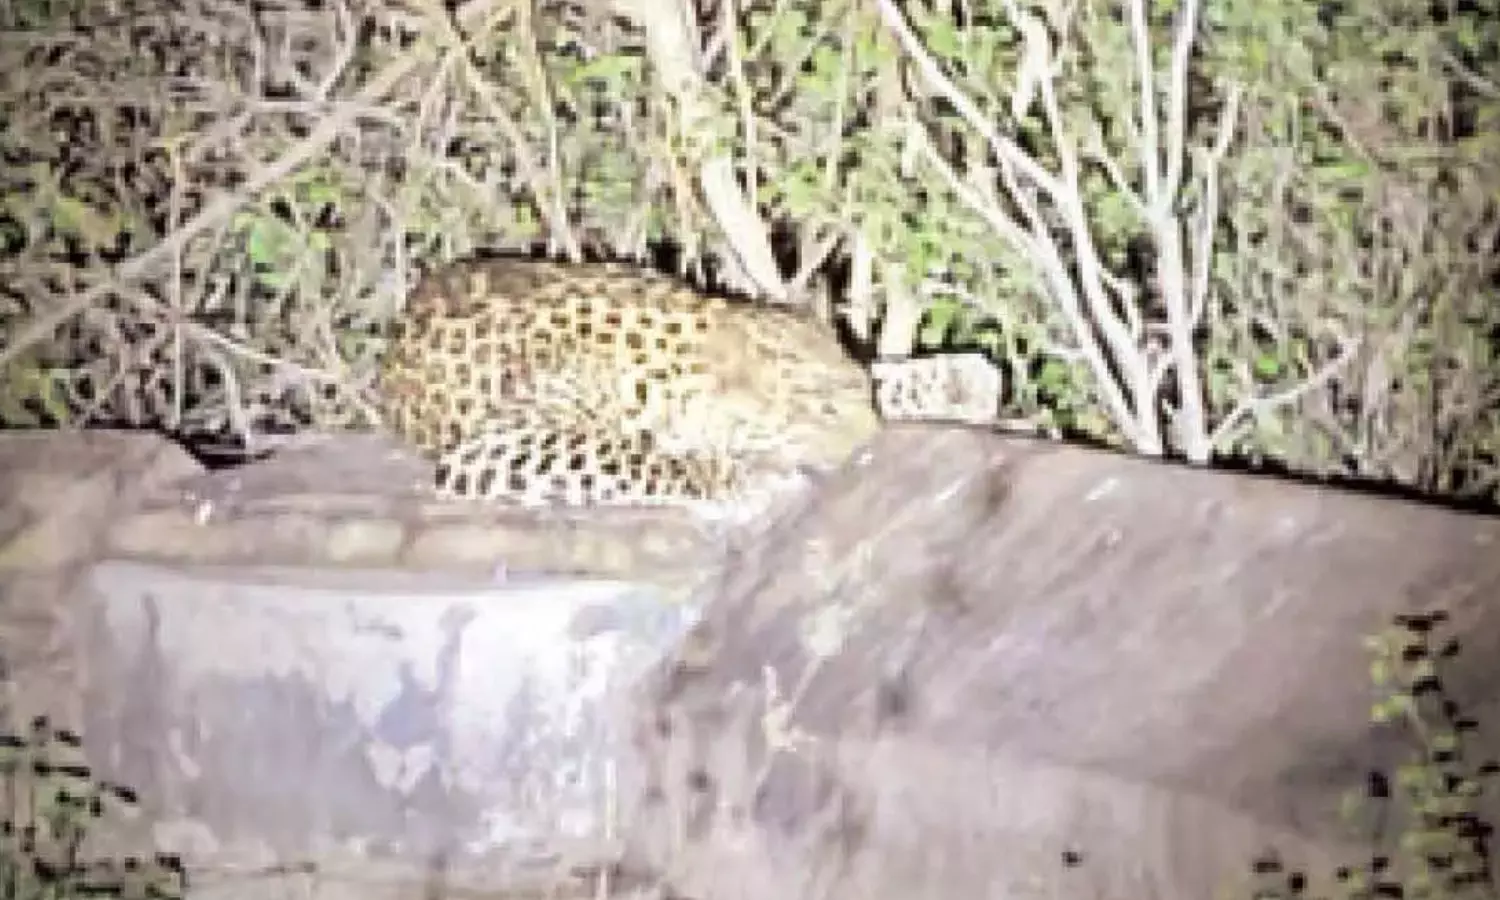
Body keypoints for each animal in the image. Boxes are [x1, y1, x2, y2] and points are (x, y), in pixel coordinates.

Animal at [374, 256, 883, 509]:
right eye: (824, 407)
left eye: (868, 393)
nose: (874, 448)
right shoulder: (496, 443)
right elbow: (623, 451)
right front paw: (724, 473)